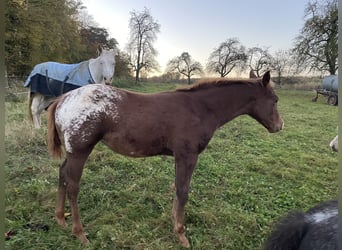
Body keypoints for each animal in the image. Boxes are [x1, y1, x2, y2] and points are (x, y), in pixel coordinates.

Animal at [47, 71, 284, 248]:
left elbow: (178, 189)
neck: (200, 109)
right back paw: (80, 233)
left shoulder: (179, 156)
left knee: (62, 174)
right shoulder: (188, 155)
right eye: (275, 100)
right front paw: (181, 234)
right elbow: (183, 191)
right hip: (80, 151)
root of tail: (62, 99)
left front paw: (174, 223)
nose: (279, 126)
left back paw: (60, 218)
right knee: (73, 186)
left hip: (72, 152)